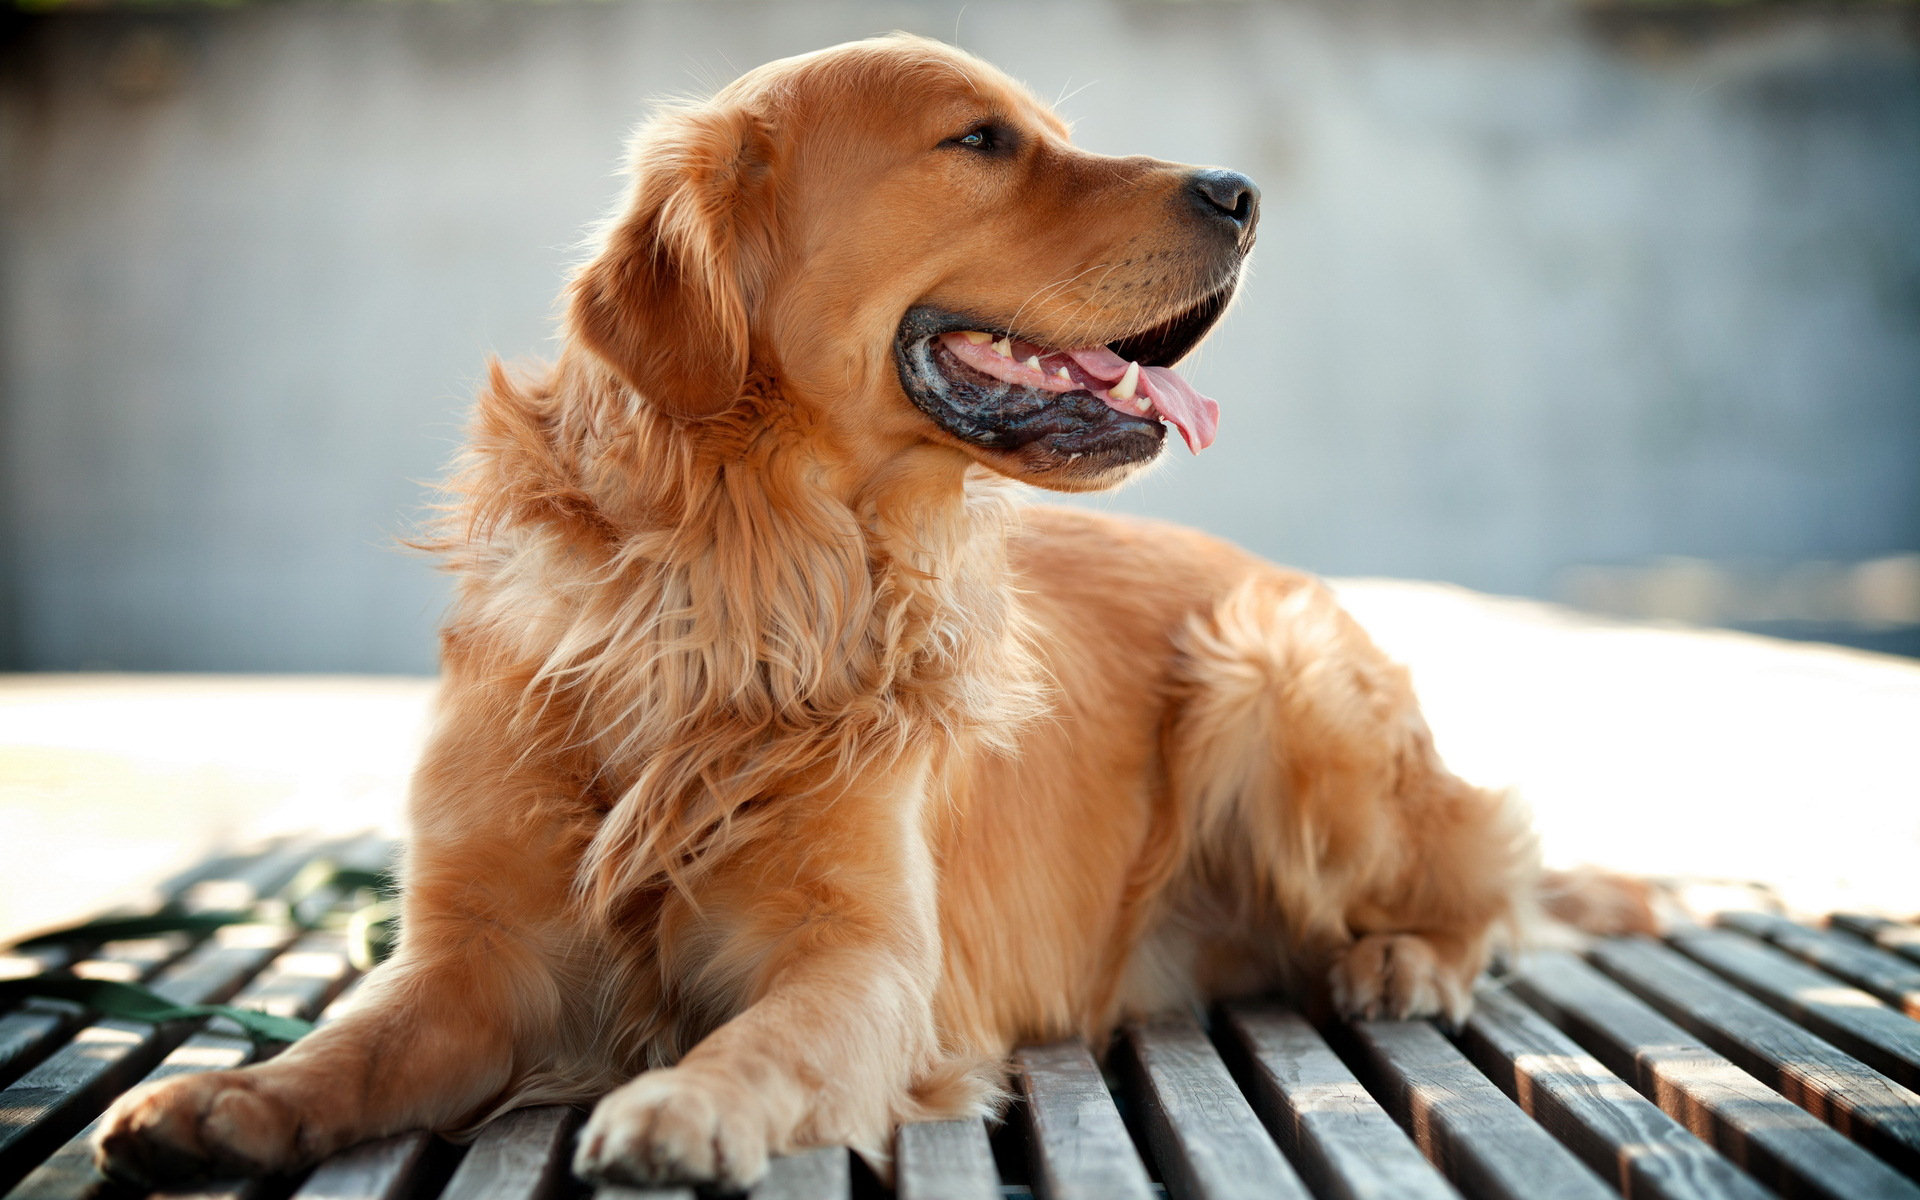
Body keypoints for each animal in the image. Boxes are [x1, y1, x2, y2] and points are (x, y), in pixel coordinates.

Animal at [97, 32, 1543, 1182]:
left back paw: (1406, 960)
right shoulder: (477, 949)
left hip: (1277, 691)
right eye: (980, 140)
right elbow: (359, 1039)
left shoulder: (862, 958)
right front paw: (230, 1097)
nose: (1242, 193)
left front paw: (683, 1104)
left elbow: (771, 1040)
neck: (735, 576)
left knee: (1486, 865)